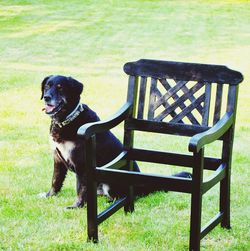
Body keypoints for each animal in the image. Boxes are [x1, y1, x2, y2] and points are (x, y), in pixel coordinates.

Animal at [41, 75, 190, 209]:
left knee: (123, 196)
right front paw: (49, 195)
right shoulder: (58, 158)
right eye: (47, 86)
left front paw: (77, 206)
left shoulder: (82, 165)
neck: (66, 120)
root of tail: (143, 186)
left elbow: (80, 188)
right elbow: (55, 180)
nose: (46, 97)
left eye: (60, 88)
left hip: (110, 183)